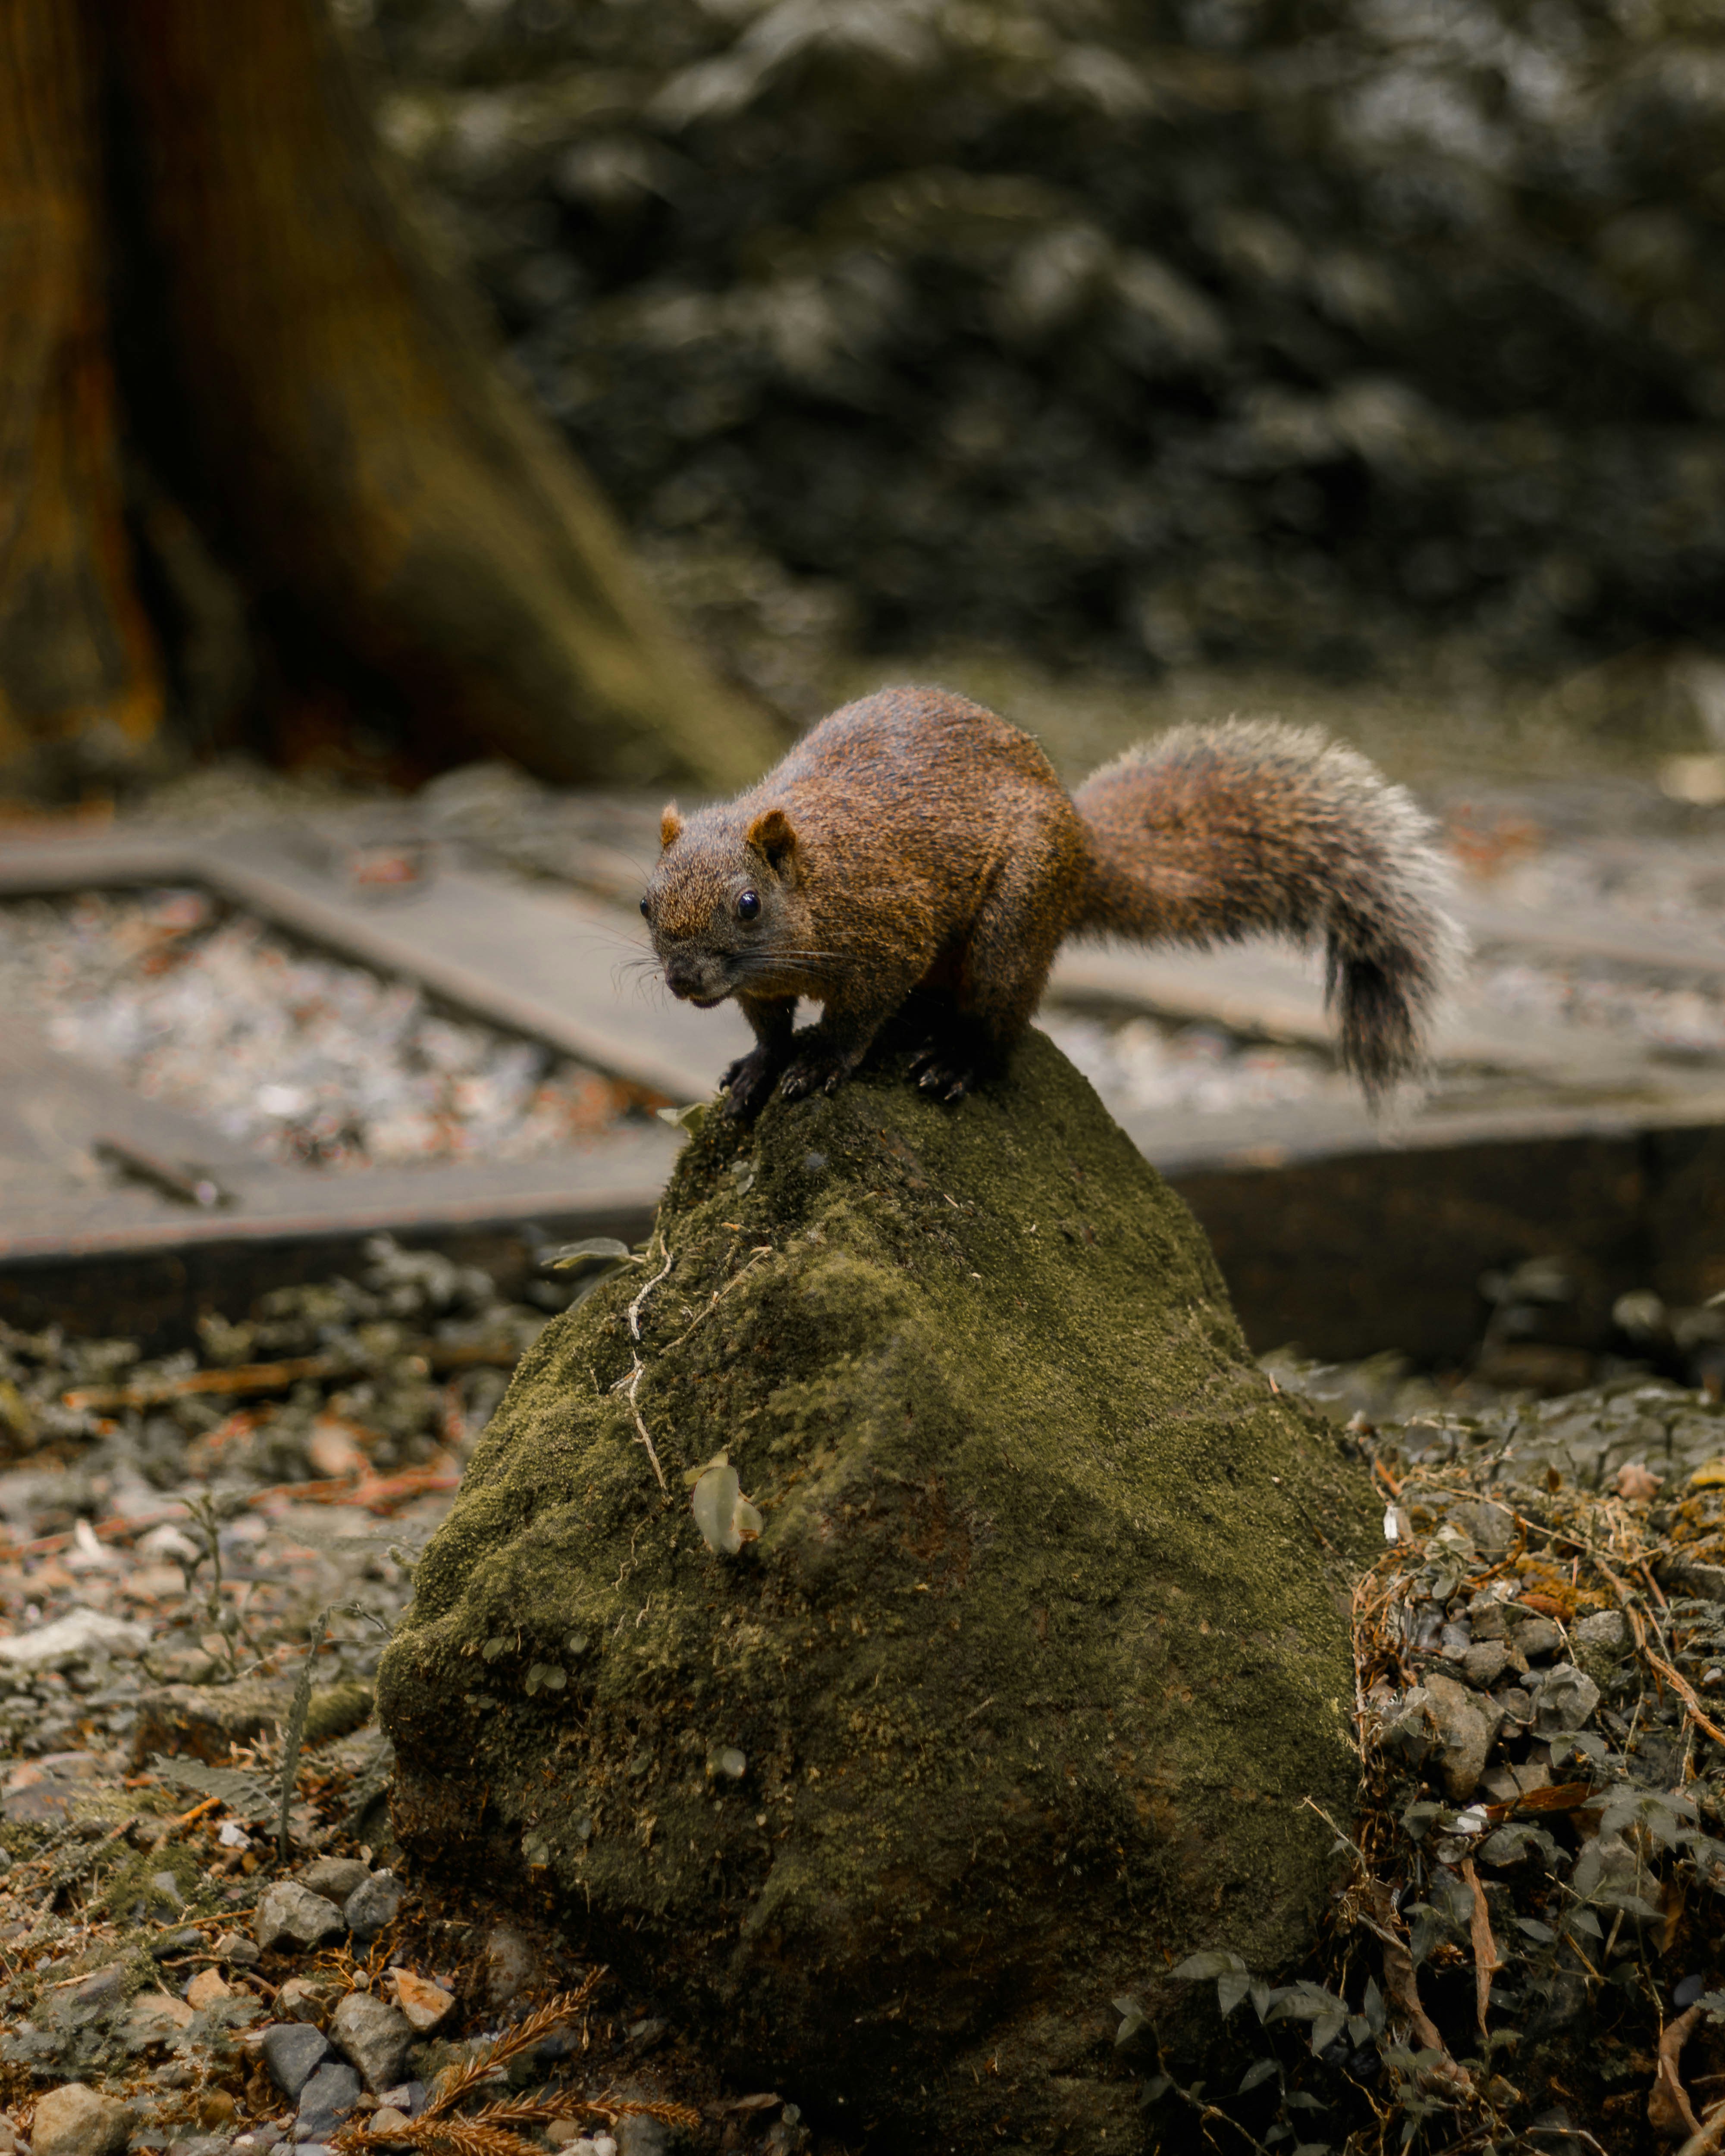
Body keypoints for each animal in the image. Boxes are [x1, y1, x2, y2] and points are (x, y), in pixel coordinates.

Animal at [641, 684, 1463, 1121]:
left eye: (749, 905)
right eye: (647, 905)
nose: (683, 982)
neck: (816, 880)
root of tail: (1083, 844)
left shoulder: (890, 932)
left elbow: (855, 1018)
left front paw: (818, 1064)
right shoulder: (763, 986)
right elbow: (768, 1026)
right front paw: (759, 1066)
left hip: (1014, 920)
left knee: (1002, 1020)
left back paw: (957, 1062)